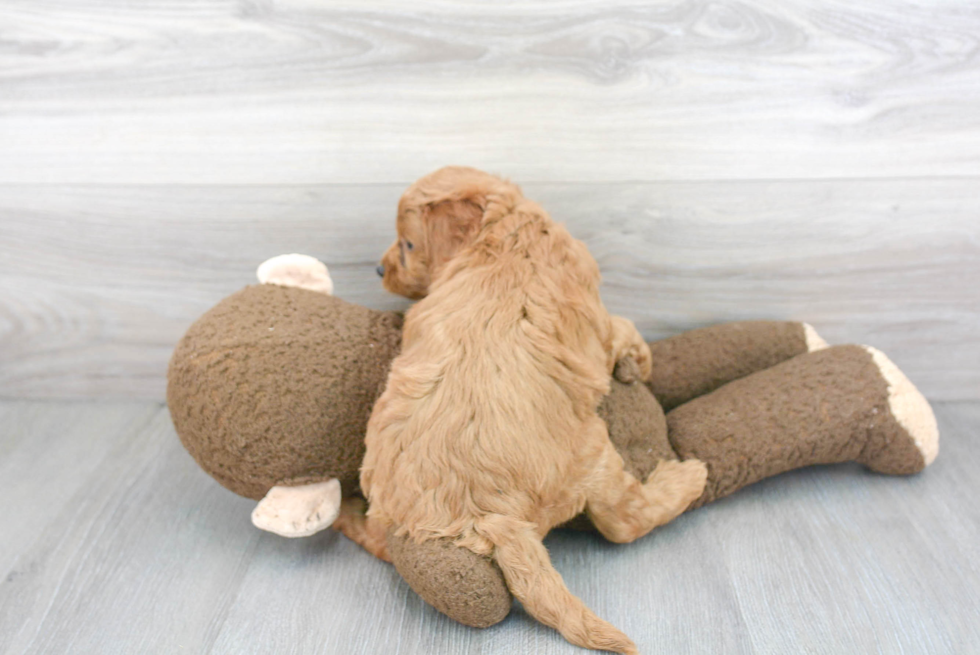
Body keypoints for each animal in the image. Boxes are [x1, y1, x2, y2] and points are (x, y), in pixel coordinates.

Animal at [364, 165, 708, 655]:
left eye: (408, 244)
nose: (379, 268)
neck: (506, 231)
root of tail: (488, 518)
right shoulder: (598, 322)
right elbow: (624, 328)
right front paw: (640, 360)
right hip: (591, 453)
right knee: (623, 520)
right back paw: (686, 478)